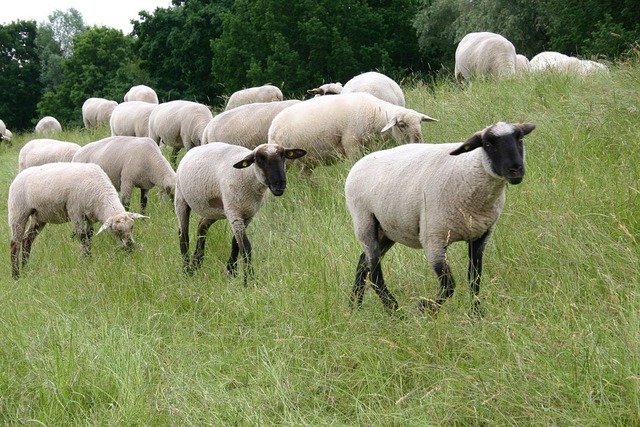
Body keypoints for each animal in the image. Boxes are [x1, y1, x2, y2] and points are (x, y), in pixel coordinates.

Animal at [8, 162, 148, 278]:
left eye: (132, 227)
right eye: (116, 230)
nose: (130, 247)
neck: (100, 192)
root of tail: (18, 177)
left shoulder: (90, 217)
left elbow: (89, 236)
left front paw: (86, 258)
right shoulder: (75, 212)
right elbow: (83, 238)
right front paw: (88, 261)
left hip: (39, 216)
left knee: (27, 240)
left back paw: (26, 269)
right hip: (18, 212)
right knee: (15, 243)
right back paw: (16, 275)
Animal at [175, 142, 306, 282]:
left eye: (283, 156)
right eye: (260, 159)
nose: (279, 185)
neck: (248, 175)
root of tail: (194, 149)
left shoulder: (247, 214)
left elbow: (236, 243)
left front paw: (231, 270)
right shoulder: (235, 213)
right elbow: (245, 246)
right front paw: (249, 280)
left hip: (215, 209)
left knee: (202, 226)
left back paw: (197, 262)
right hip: (181, 199)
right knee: (183, 235)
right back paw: (186, 270)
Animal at [267, 92, 437, 172]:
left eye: (420, 123)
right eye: (401, 124)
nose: (418, 142)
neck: (374, 114)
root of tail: (272, 126)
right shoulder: (352, 145)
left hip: (306, 160)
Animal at [345, 121, 536, 316]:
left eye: (520, 138)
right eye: (488, 144)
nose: (516, 169)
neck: (468, 172)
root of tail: (359, 163)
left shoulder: (480, 236)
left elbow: (474, 278)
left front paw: (476, 314)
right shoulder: (433, 239)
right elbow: (448, 285)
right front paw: (424, 307)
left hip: (387, 230)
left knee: (363, 263)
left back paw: (354, 306)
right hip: (364, 222)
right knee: (374, 272)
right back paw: (395, 311)